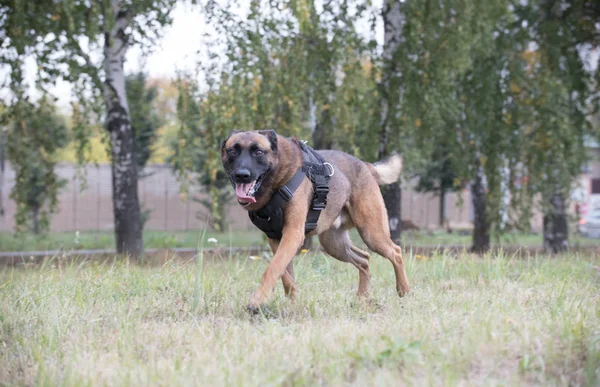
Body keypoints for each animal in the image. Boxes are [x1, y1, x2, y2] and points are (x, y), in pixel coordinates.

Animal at [221, 130, 412, 312]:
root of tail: (366, 165)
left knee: (395, 252)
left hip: (371, 233)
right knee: (364, 259)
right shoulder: (276, 239)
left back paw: (404, 290)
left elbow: (272, 268)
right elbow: (284, 274)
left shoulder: (292, 235)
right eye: (232, 151)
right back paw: (362, 298)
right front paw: (293, 299)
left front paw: (257, 301)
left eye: (258, 152)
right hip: (333, 244)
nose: (242, 175)